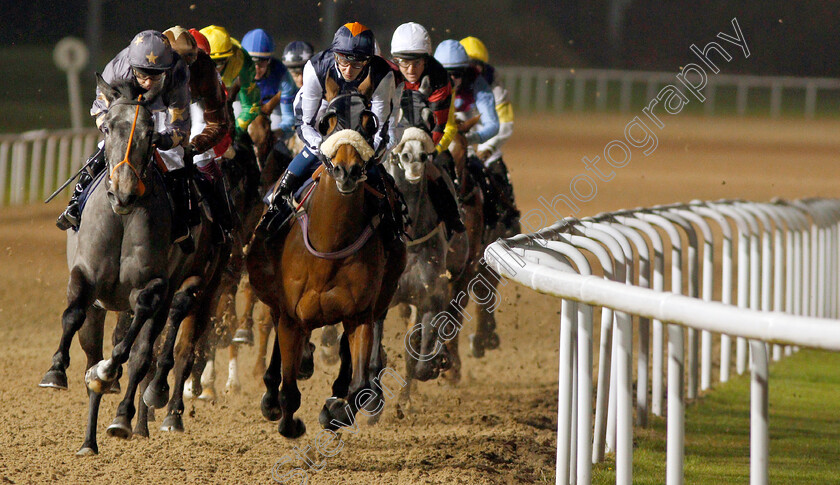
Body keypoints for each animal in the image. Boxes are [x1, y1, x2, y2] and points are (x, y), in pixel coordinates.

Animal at [38, 73, 223, 452]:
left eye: (151, 134)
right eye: (107, 127)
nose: (122, 193)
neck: (121, 219)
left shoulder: (152, 287)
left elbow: (133, 348)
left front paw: (112, 378)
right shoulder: (85, 276)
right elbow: (72, 315)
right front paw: (56, 371)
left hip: (193, 285)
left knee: (150, 350)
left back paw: (127, 415)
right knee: (92, 346)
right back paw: (90, 436)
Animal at [244, 92, 406, 436]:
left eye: (368, 122)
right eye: (329, 122)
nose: (347, 171)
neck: (330, 245)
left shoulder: (360, 314)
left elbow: (358, 386)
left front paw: (335, 410)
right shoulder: (291, 315)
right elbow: (289, 389)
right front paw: (287, 418)